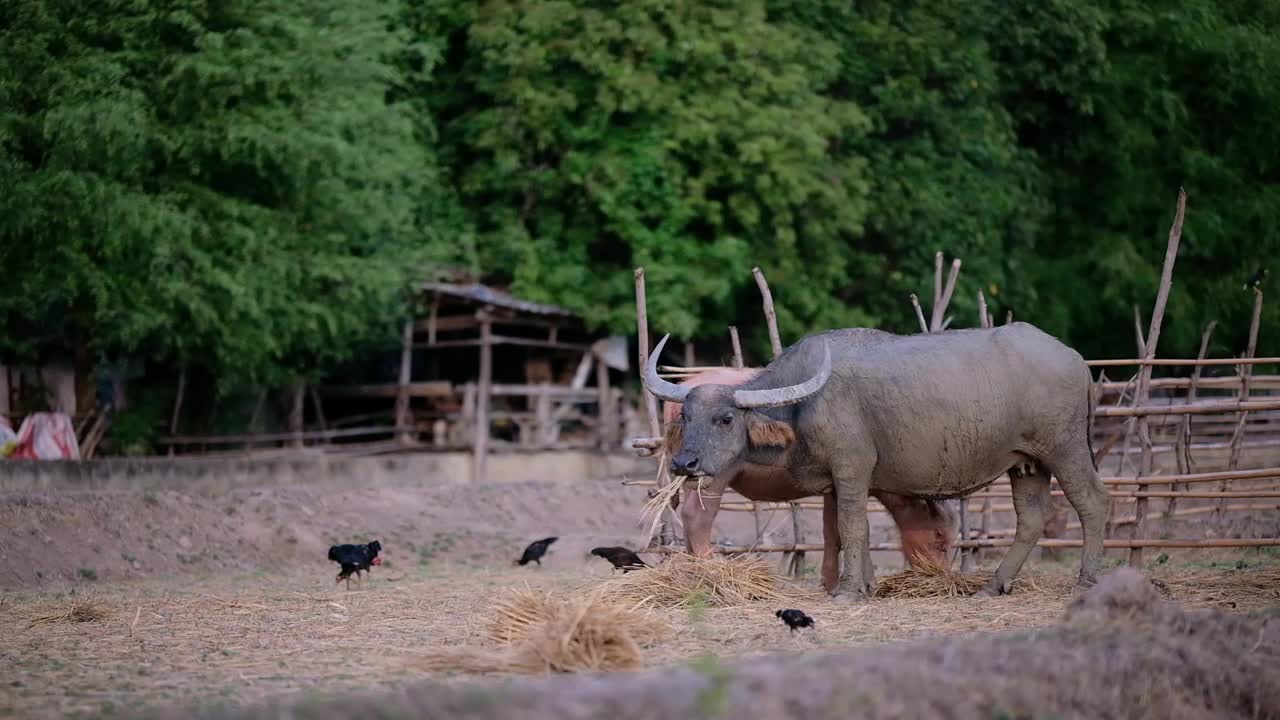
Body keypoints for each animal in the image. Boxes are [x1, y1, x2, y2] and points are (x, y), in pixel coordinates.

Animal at [660, 363, 952, 589]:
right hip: (715, 473)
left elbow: (833, 531)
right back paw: (709, 567)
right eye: (939, 536)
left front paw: (831, 582)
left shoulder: (834, 485)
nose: (940, 573)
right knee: (697, 516)